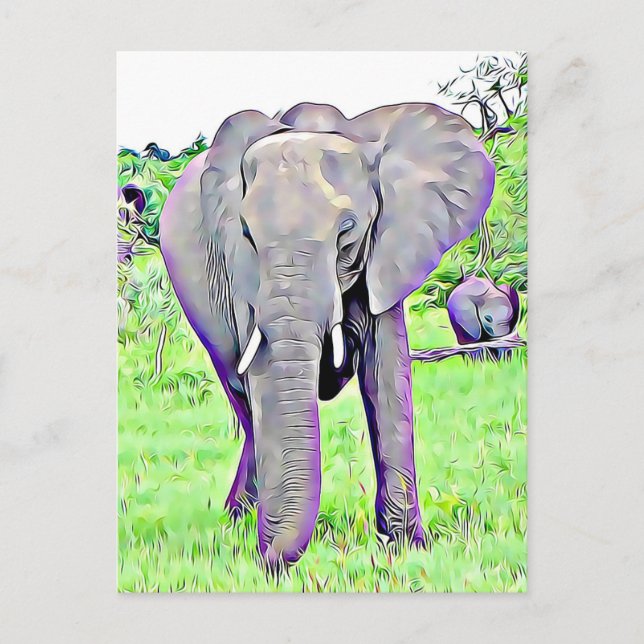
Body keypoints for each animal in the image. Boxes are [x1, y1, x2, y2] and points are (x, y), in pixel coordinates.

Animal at [158, 102, 495, 566]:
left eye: (346, 232)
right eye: (246, 234)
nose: (269, 560)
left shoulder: (387, 254)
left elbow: (387, 376)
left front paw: (405, 549)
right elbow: (264, 380)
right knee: (241, 396)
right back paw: (240, 516)